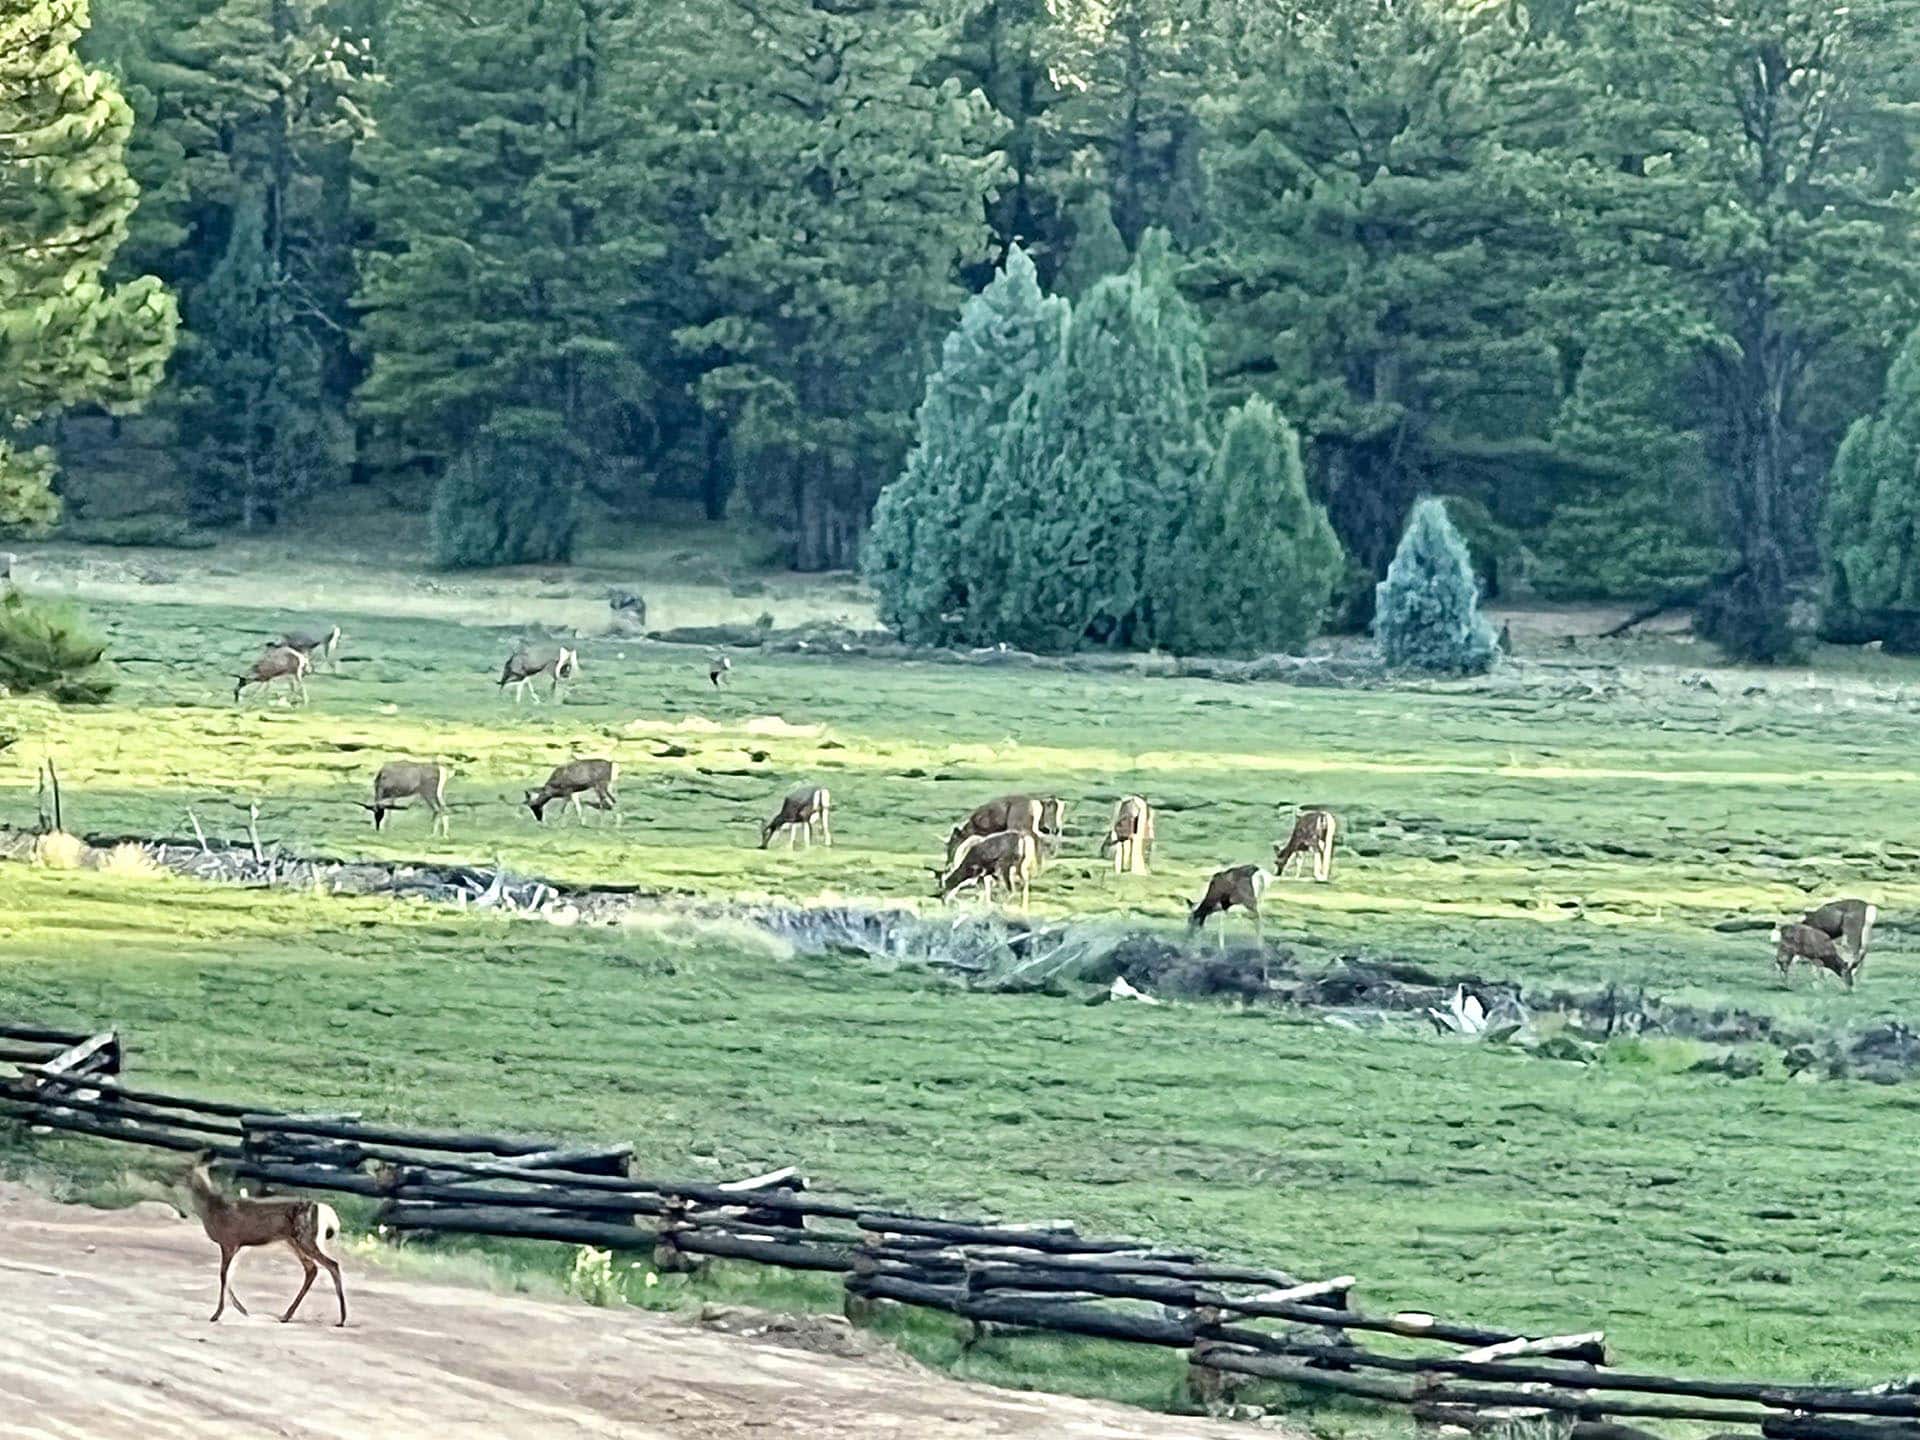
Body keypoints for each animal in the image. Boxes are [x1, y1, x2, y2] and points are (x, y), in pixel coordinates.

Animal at [185, 1153, 347, 1326]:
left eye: (187, 1168)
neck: (213, 1210)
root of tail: (323, 1211)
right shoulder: (239, 1246)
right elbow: (228, 1277)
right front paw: (242, 1310)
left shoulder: (229, 1241)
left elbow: (223, 1276)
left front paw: (217, 1314)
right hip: (295, 1242)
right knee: (312, 1269)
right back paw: (286, 1315)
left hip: (305, 1238)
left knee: (332, 1265)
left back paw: (342, 1319)